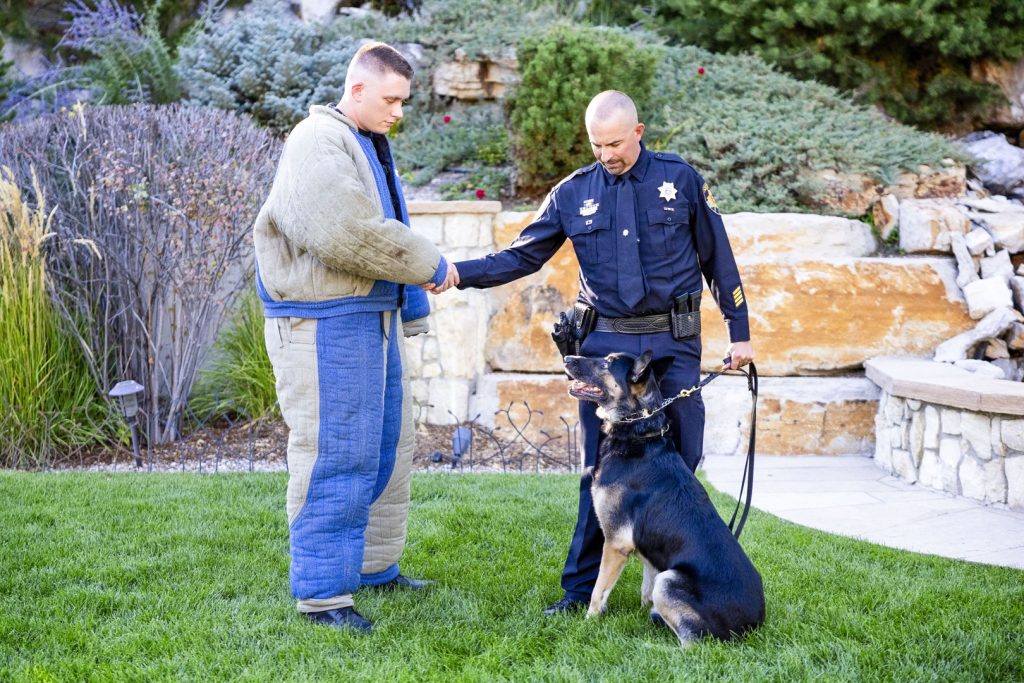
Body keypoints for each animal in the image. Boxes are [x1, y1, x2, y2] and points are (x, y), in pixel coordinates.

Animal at [565, 352, 765, 647]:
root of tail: (752, 626)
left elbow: (598, 591)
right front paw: (642, 615)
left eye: (607, 362)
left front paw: (588, 623)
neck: (638, 427)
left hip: (669, 579)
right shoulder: (647, 554)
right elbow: (645, 590)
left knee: (693, 644)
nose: (567, 358)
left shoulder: (615, 543)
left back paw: (650, 647)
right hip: (665, 577)